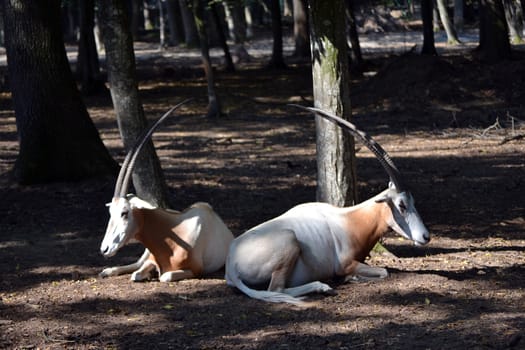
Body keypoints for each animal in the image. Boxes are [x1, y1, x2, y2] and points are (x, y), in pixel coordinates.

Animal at [100, 100, 233, 282]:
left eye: (124, 213)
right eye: (110, 212)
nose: (104, 249)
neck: (176, 234)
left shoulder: (197, 270)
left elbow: (164, 276)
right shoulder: (151, 259)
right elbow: (137, 273)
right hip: (145, 254)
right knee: (135, 265)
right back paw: (107, 270)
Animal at [223, 105, 428, 304]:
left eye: (413, 201)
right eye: (401, 205)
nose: (426, 236)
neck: (352, 220)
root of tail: (231, 264)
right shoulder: (346, 264)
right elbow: (384, 271)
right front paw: (349, 278)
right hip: (289, 240)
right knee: (276, 289)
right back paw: (323, 287)